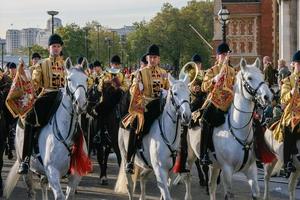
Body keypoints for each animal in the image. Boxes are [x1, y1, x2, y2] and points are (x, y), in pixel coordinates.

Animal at [4, 57, 88, 200]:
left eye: (86, 79)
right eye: (69, 79)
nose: (80, 104)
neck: (66, 134)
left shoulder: (75, 176)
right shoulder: (52, 172)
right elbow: (59, 196)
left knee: (43, 184)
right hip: (27, 169)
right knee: (31, 192)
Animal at [185, 58, 272, 200]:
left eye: (262, 76)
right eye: (249, 77)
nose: (268, 96)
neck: (238, 131)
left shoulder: (251, 169)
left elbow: (256, 193)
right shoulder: (227, 170)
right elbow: (229, 194)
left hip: (214, 165)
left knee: (212, 186)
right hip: (191, 155)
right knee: (188, 175)